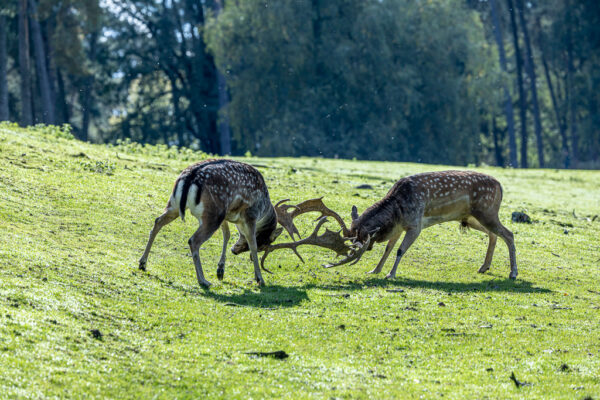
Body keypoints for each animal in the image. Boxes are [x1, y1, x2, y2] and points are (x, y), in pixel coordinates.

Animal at [316, 170, 516, 280]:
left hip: (487, 211)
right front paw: (375, 270)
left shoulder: (415, 225)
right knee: (494, 234)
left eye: (361, 237)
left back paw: (513, 273)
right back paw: (484, 267)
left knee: (509, 233)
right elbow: (388, 249)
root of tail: (501, 186)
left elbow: (399, 250)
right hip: (471, 218)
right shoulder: (399, 227)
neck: (397, 210)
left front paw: (390, 274)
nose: (367, 248)